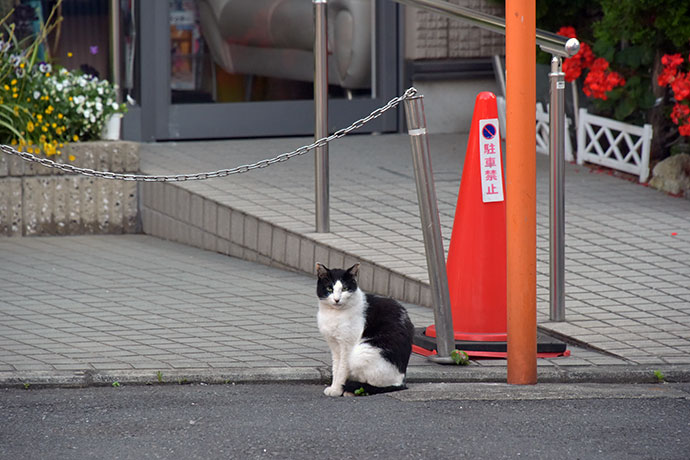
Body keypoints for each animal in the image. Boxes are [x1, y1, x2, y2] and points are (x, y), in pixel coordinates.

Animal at [316, 262, 414, 396]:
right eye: (329, 289)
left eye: (345, 289)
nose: (336, 299)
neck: (333, 314)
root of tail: (401, 381)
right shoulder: (335, 347)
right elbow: (336, 367)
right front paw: (334, 387)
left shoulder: (347, 346)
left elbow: (341, 369)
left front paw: (336, 390)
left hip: (360, 354)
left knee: (372, 383)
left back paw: (351, 390)